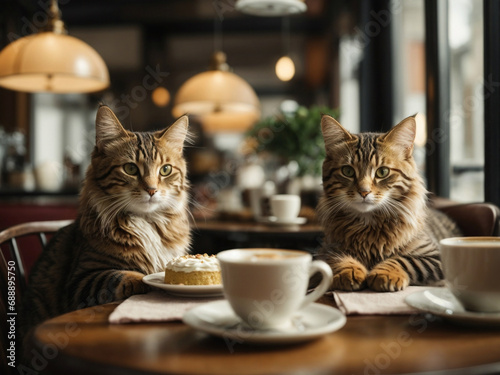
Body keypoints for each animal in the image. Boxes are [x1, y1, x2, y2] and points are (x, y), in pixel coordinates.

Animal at [21, 106, 191, 334]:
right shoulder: (82, 280)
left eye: (165, 170)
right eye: (130, 169)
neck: (147, 221)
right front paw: (150, 281)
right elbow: (126, 275)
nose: (152, 190)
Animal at [316, 114, 460, 294]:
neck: (369, 225)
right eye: (347, 171)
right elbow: (337, 258)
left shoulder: (435, 255)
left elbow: (404, 259)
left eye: (382, 172)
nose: (364, 192)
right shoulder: (325, 250)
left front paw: (385, 274)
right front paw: (349, 271)